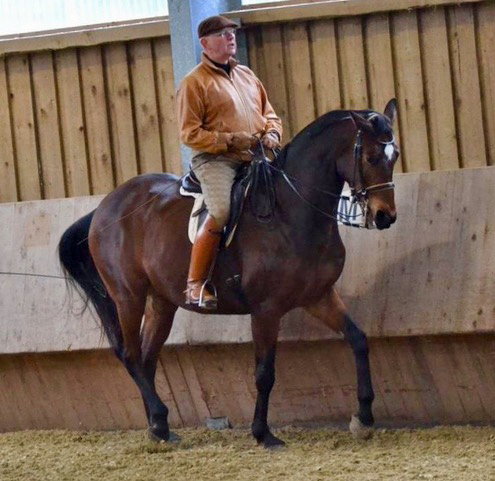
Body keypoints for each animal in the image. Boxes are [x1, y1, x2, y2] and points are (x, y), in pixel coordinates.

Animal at [59, 97, 400, 446]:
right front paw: (263, 433)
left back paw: (159, 428)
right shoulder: (266, 310)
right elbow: (264, 373)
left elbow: (358, 339)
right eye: (371, 156)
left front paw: (364, 417)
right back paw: (159, 417)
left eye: (395, 156)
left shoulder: (319, 297)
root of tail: (104, 207)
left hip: (161, 302)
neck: (290, 213)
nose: (385, 216)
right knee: (130, 355)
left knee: (147, 357)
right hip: (128, 296)